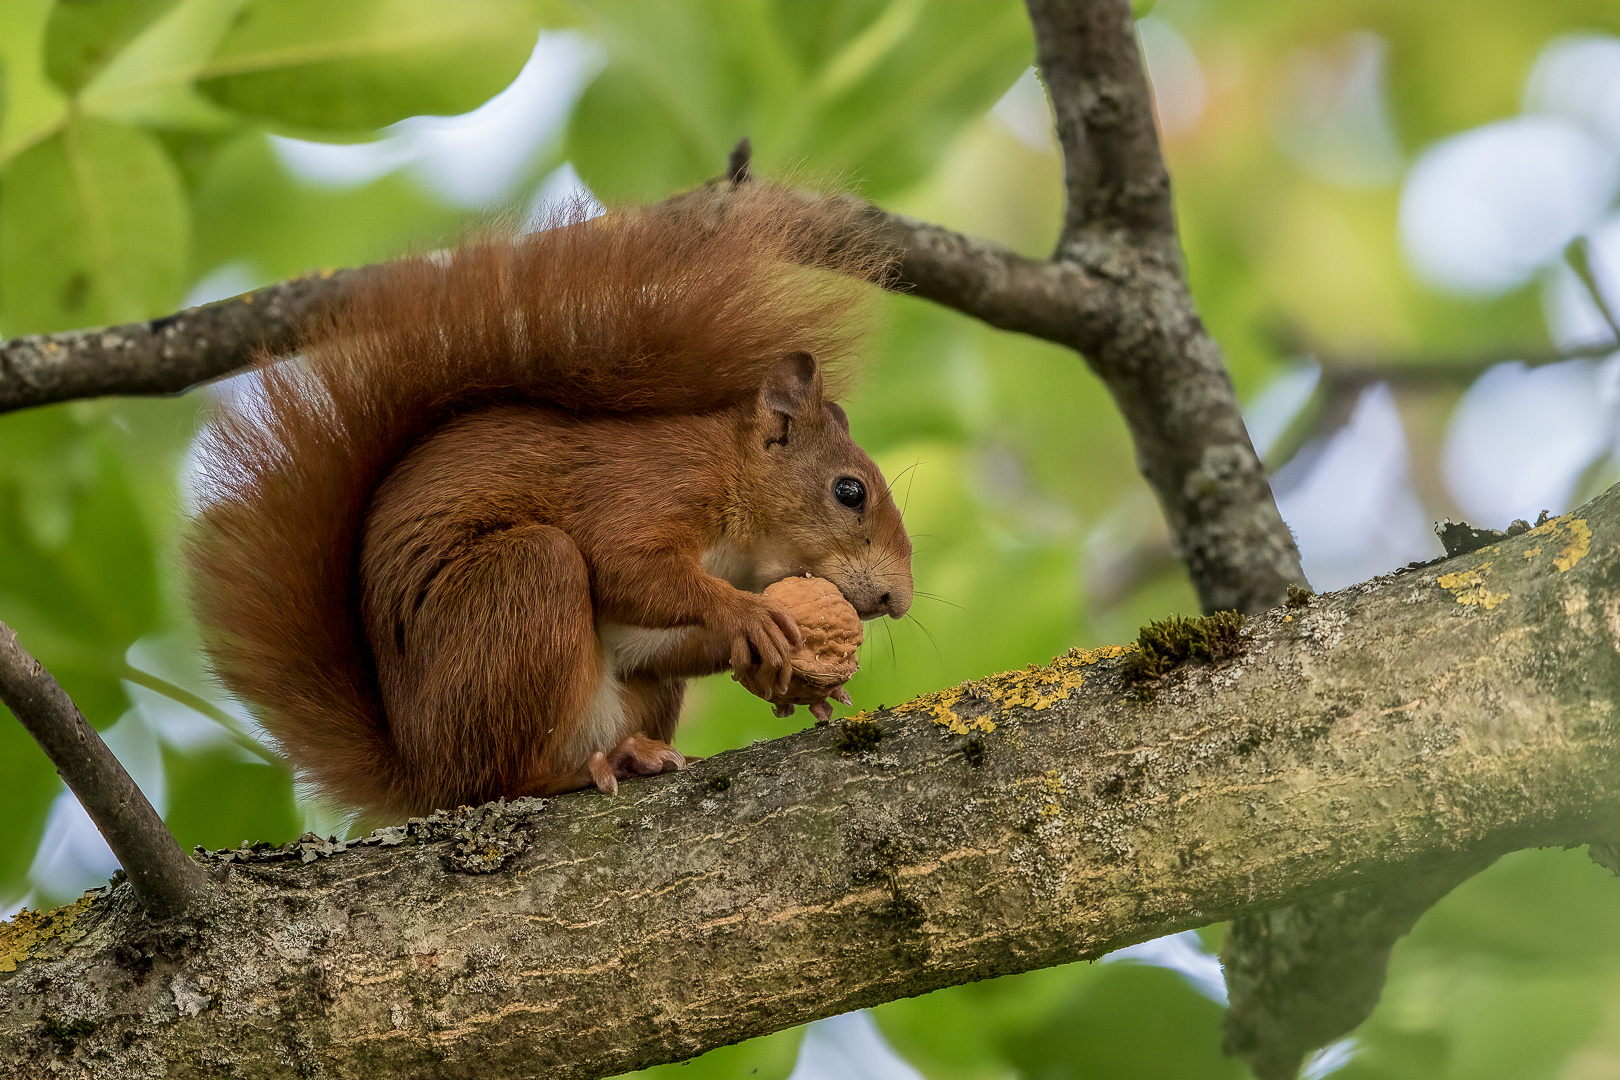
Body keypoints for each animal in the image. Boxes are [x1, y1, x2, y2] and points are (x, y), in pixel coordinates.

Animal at [186, 187, 913, 819]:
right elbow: (625, 566)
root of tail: (420, 775)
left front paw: (796, 679)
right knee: (496, 781)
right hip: (522, 589)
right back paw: (591, 769)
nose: (898, 601)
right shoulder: (648, 489)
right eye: (850, 492)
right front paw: (749, 616)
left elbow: (660, 642)